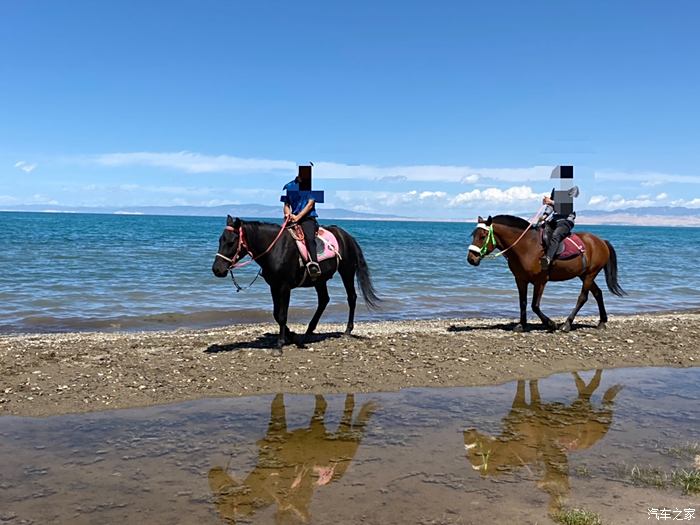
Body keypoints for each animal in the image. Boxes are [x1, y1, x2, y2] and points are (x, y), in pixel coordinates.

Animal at [468, 214, 628, 332]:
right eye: (473, 235)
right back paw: (602, 322)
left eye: (483, 236)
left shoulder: (540, 281)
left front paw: (551, 324)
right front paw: (521, 325)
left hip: (590, 274)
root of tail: (601, 241)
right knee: (598, 293)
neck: (527, 246)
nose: (471, 258)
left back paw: (566, 324)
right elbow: (523, 302)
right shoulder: (520, 279)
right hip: (583, 274)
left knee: (583, 297)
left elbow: (535, 305)